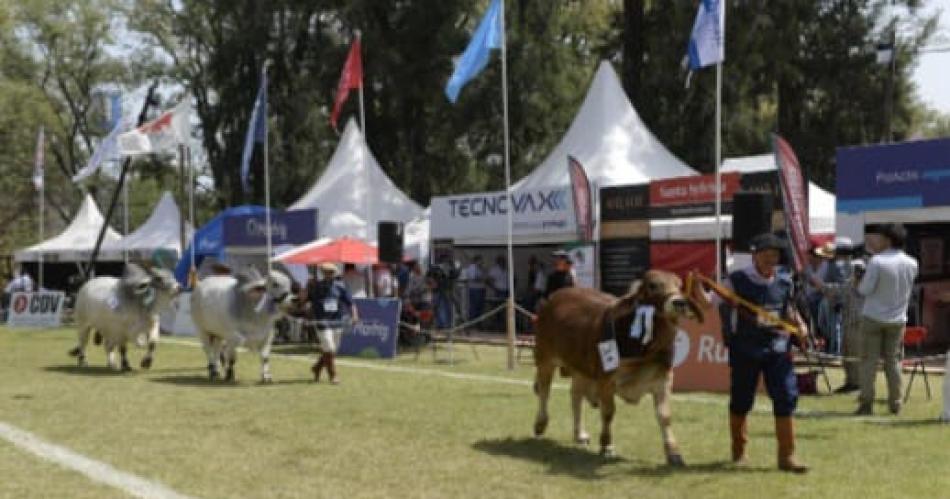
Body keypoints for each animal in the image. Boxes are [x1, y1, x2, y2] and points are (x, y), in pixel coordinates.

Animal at [532, 272, 704, 466]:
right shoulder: (606, 380)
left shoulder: (663, 380)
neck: (644, 351)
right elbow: (608, 412)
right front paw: (607, 446)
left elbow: (664, 416)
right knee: (544, 391)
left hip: (581, 368)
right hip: (545, 358)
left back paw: (580, 434)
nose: (679, 302)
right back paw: (540, 424)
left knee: (575, 396)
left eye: (680, 285)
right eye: (652, 285)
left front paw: (674, 453)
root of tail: (553, 298)